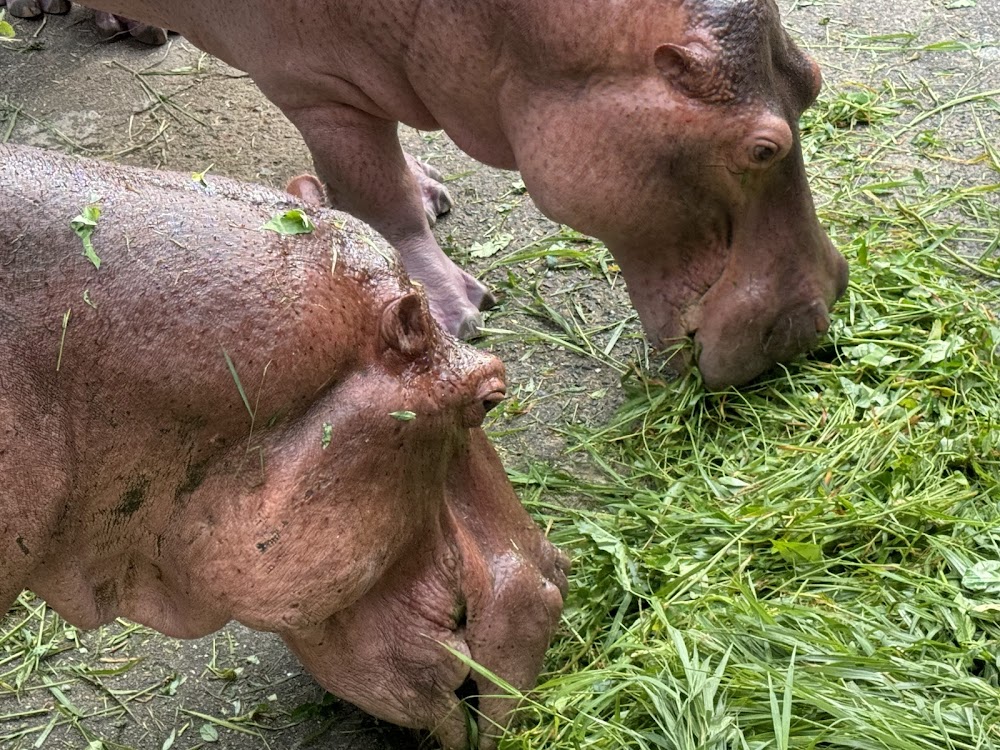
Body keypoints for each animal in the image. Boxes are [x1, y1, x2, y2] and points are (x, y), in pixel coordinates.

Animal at [0, 0, 848, 388]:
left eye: (813, 79)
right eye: (762, 148)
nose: (815, 319)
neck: (520, 33)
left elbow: (395, 170)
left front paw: (434, 190)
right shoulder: (317, 88)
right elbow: (376, 198)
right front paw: (455, 312)